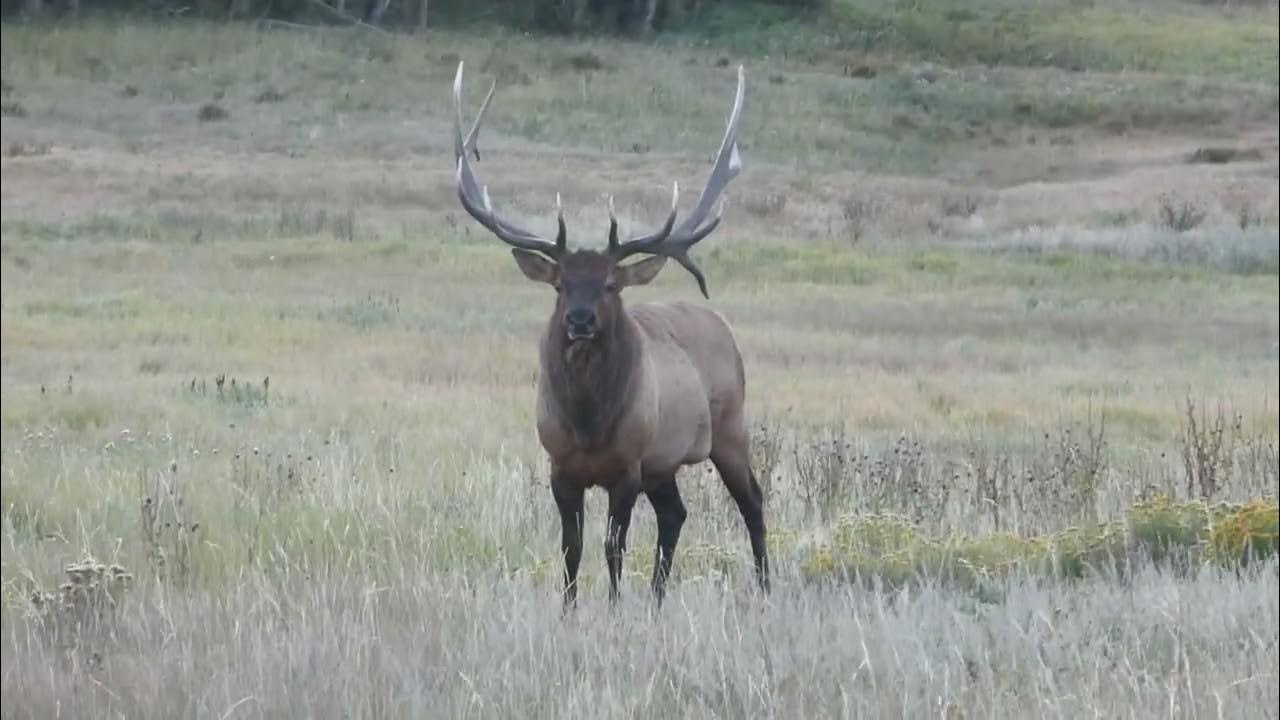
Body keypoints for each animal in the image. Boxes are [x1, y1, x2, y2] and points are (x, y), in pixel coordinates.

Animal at [450, 61, 768, 608]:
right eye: (560, 284)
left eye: (610, 284)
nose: (579, 321)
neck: (588, 424)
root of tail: (721, 326)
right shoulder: (561, 467)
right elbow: (571, 548)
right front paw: (569, 609)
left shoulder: (628, 467)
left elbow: (612, 548)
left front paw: (616, 607)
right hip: (665, 463)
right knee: (675, 514)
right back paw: (658, 599)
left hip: (729, 429)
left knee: (753, 501)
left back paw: (767, 588)